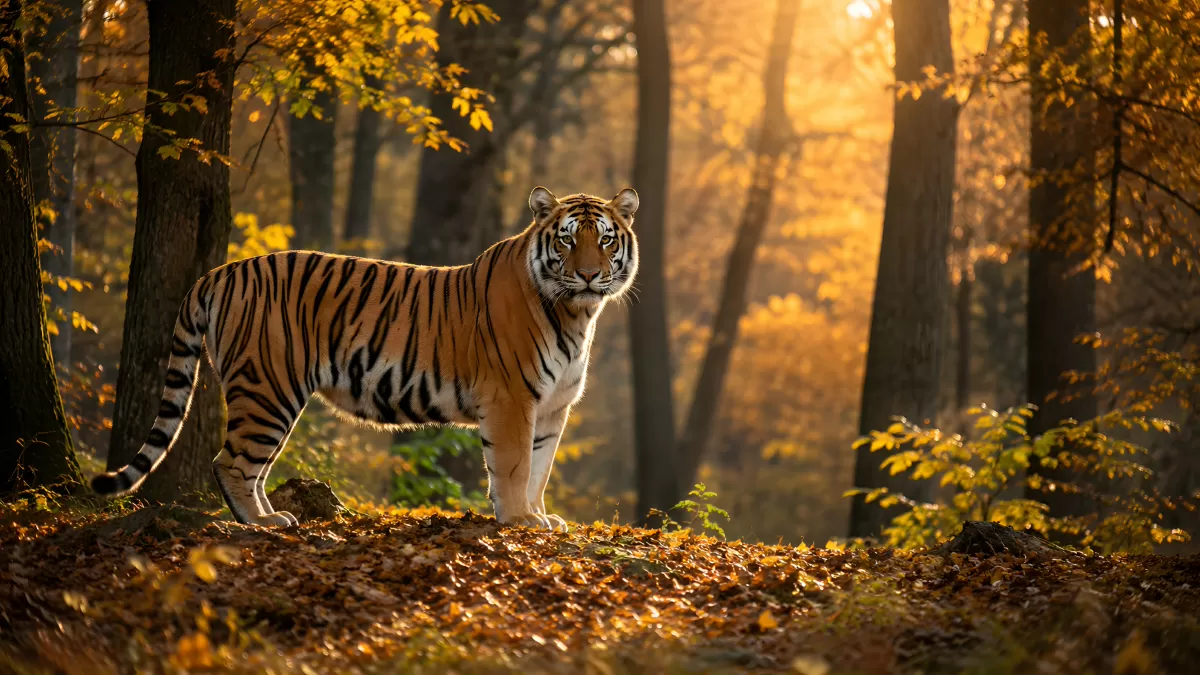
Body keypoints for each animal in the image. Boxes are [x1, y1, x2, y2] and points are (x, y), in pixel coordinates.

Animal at [91, 186, 639, 531]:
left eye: (605, 238)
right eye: (567, 238)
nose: (589, 275)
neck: (576, 314)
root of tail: (221, 271)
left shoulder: (552, 406)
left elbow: (541, 466)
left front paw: (539, 516)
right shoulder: (512, 400)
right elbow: (515, 465)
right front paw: (519, 520)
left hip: (273, 395)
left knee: (253, 465)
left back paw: (273, 515)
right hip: (267, 388)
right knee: (230, 461)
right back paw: (259, 524)